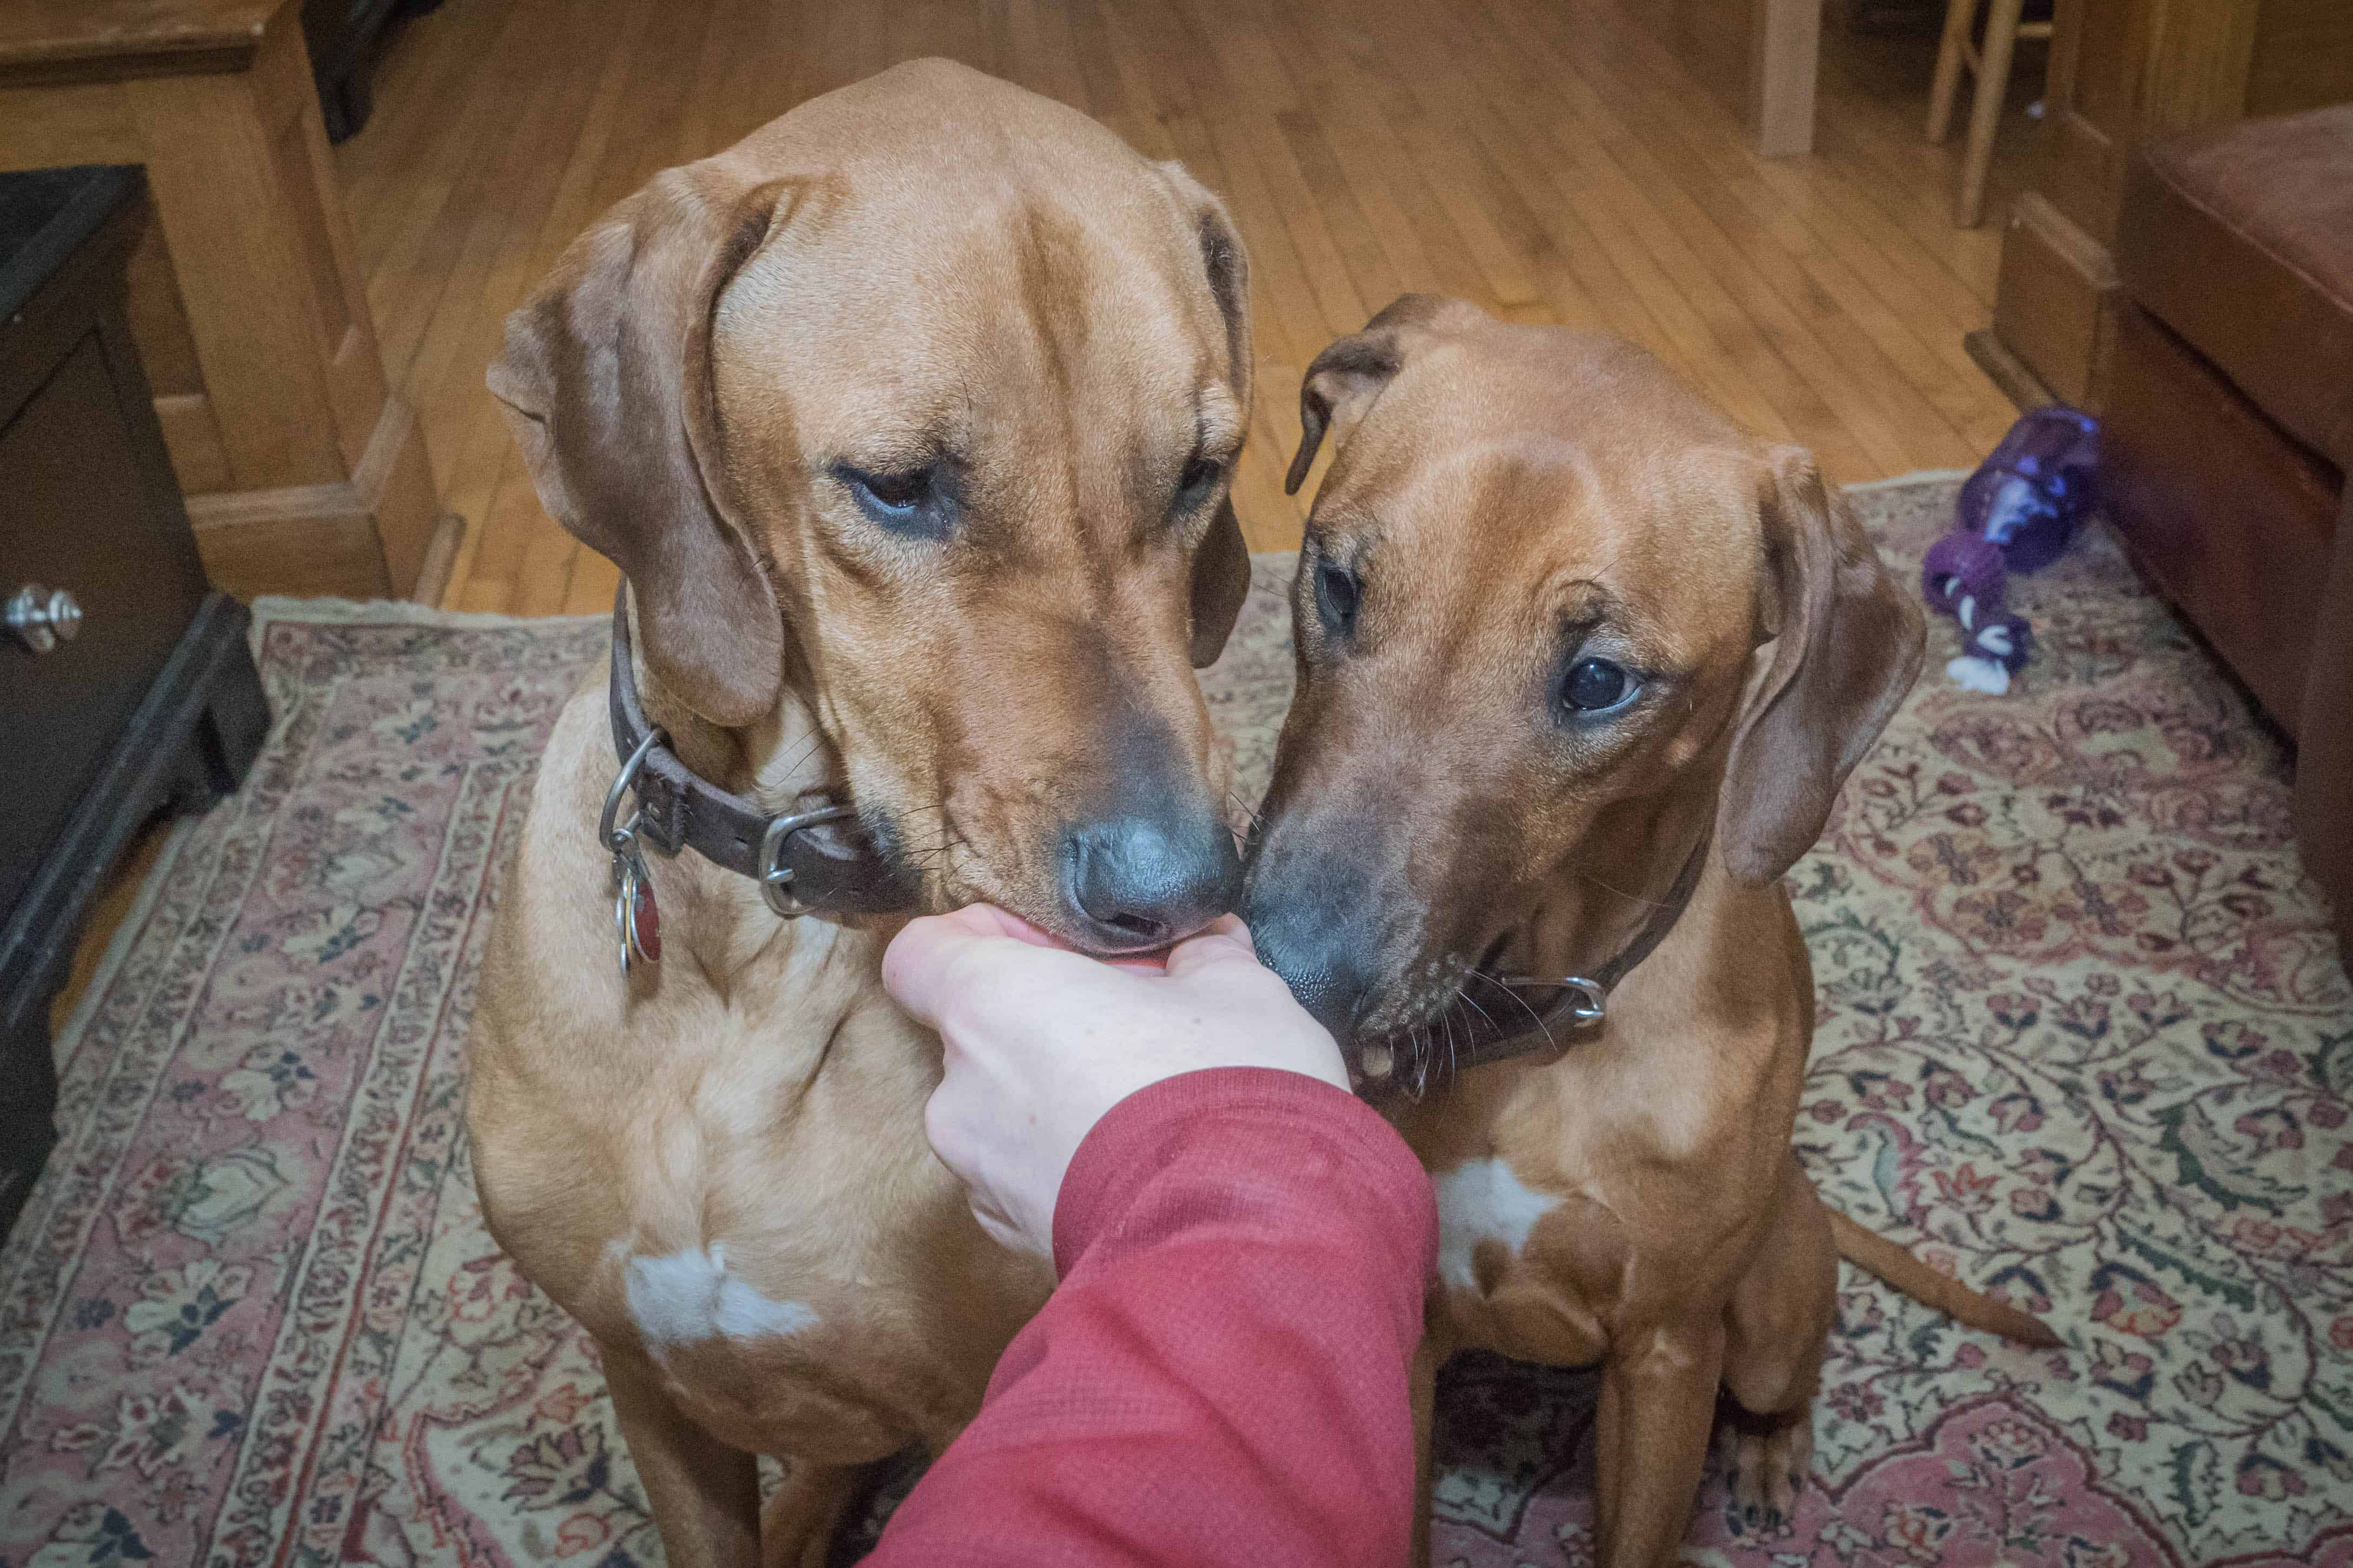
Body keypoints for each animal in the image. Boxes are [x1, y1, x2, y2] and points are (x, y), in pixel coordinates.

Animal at [463, 64, 1271, 1568]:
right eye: (898, 486)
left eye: (1199, 473)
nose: (1187, 887)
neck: (768, 948)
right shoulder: (646, 1388)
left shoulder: (984, 1407)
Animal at [1252, 293, 2061, 1568]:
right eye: (1335, 584)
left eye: (1598, 681)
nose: (1288, 969)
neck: (1544, 1026)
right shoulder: (1408, 1337)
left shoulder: (1669, 1353)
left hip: (1770, 1304)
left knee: (1788, 1378)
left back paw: (1772, 1453)